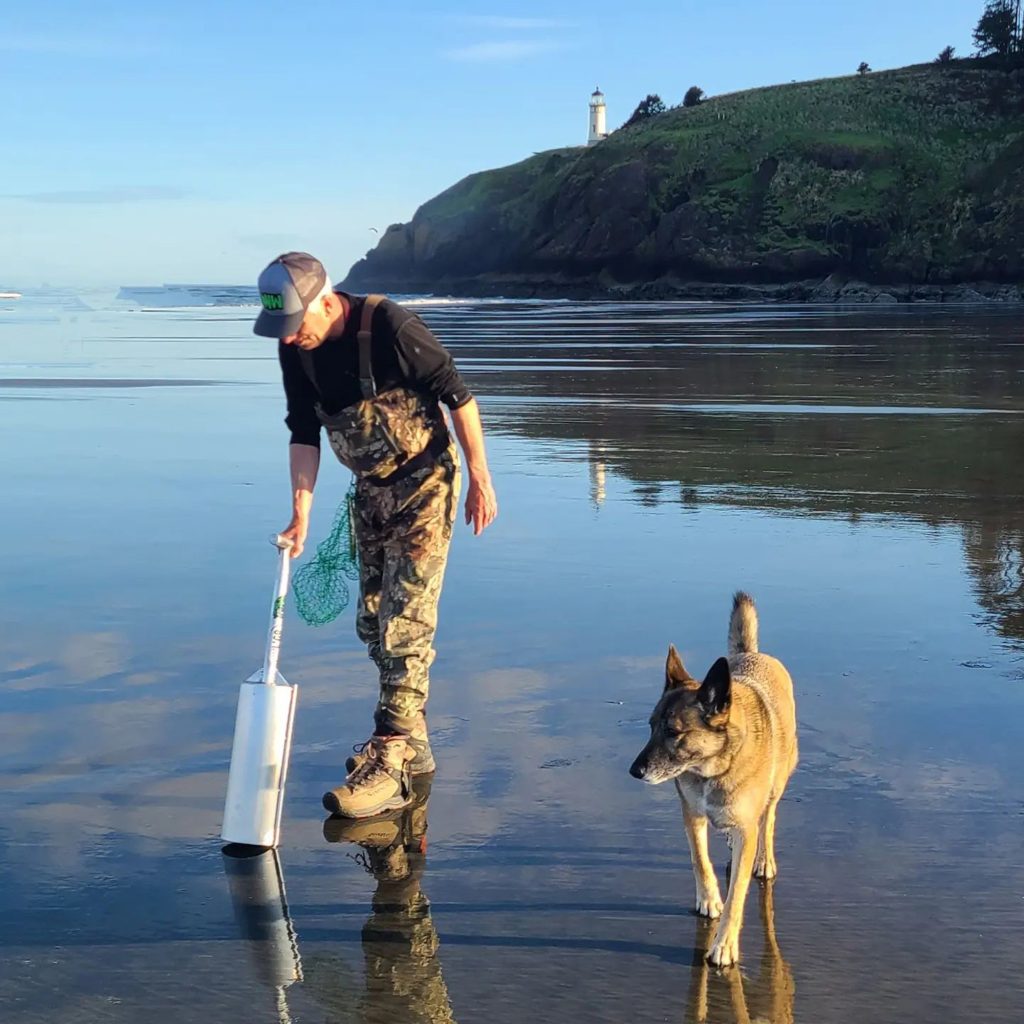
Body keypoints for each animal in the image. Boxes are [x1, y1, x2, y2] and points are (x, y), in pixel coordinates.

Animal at [626, 593, 794, 966]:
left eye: (673, 732)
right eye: (650, 727)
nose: (634, 771)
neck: (714, 768)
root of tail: (752, 654)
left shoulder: (745, 827)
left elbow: (737, 896)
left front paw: (724, 943)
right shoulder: (692, 815)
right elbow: (700, 861)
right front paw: (709, 899)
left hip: (779, 783)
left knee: (769, 819)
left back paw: (764, 859)